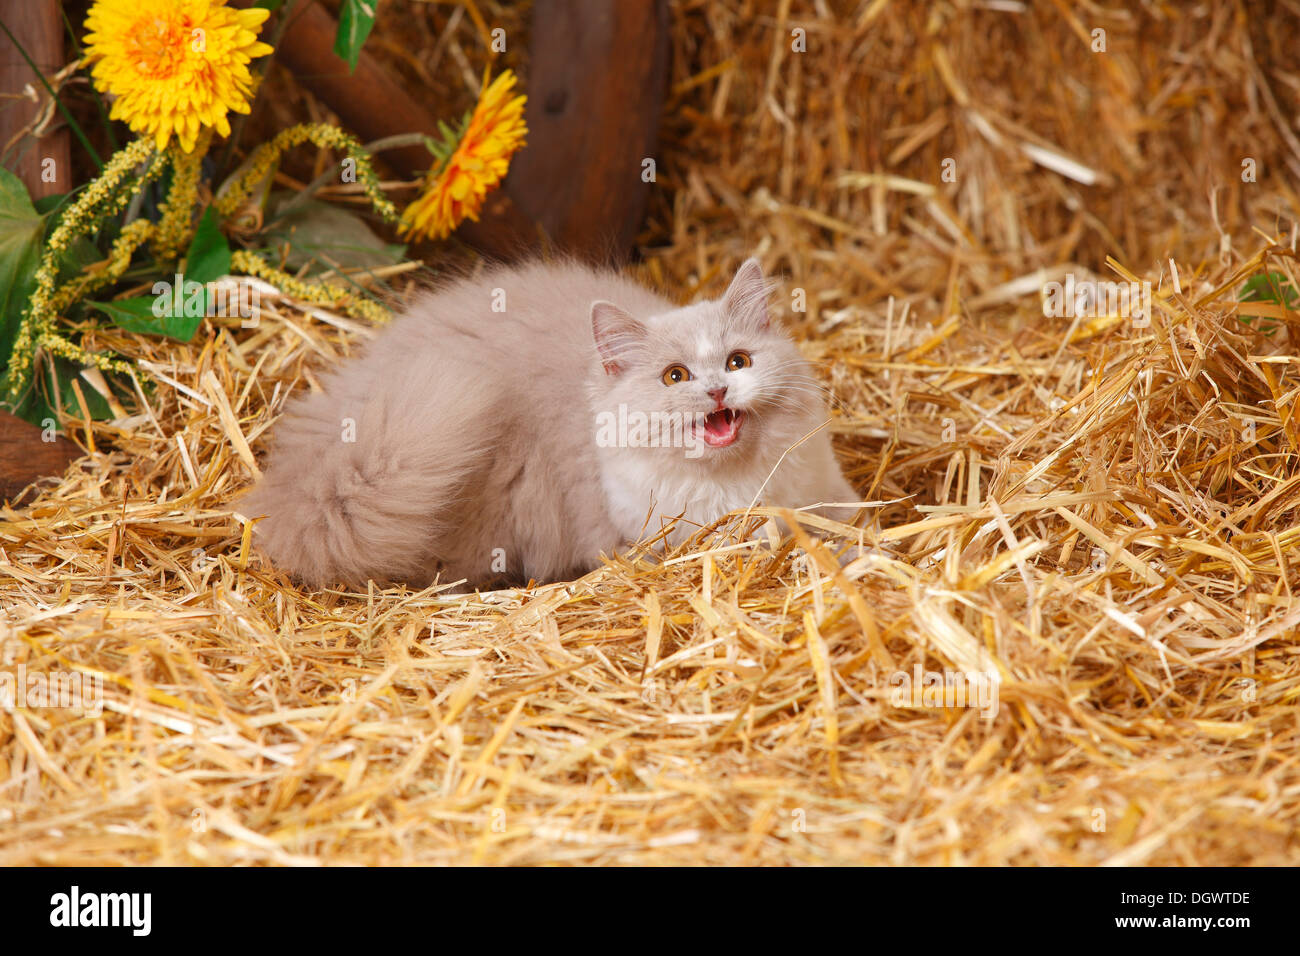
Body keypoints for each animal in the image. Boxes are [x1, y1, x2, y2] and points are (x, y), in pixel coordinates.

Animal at [240, 261, 857, 590]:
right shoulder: (629, 537)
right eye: (675, 376)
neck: (733, 484)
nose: (717, 391)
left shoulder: (826, 494)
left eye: (737, 362)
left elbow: (851, 530)